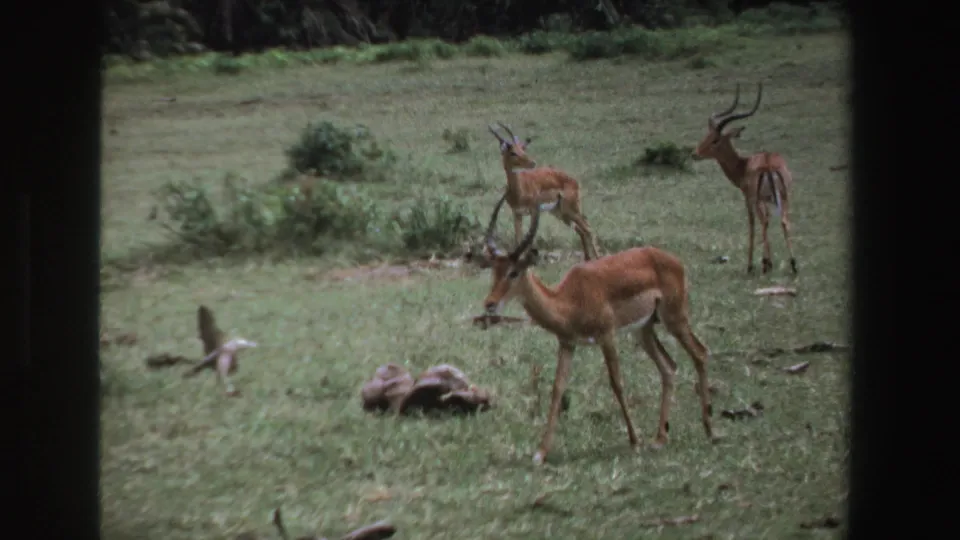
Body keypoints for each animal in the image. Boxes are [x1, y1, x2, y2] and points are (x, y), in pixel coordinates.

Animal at [468, 193, 717, 466]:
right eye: (494, 270)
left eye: (514, 272)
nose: (490, 303)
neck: (569, 301)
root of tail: (673, 260)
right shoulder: (567, 344)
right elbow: (557, 389)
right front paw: (540, 452)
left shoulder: (607, 336)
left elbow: (616, 382)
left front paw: (634, 441)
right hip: (644, 330)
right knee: (669, 367)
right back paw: (660, 438)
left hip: (674, 319)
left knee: (700, 353)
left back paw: (709, 430)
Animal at [487, 122, 601, 261]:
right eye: (513, 152)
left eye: (523, 149)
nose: (532, 162)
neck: (519, 191)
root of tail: (574, 181)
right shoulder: (517, 213)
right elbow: (518, 240)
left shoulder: (533, 212)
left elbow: (528, 241)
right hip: (560, 212)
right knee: (581, 230)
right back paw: (587, 258)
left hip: (571, 209)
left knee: (588, 228)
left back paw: (599, 258)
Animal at [690, 83, 798, 275]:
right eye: (707, 135)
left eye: (715, 139)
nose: (695, 153)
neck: (744, 165)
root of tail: (768, 164)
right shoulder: (766, 200)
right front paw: (769, 261)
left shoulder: (749, 198)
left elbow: (752, 225)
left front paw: (754, 264)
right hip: (785, 196)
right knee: (784, 221)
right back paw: (793, 264)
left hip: (758, 198)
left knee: (763, 221)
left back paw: (763, 264)